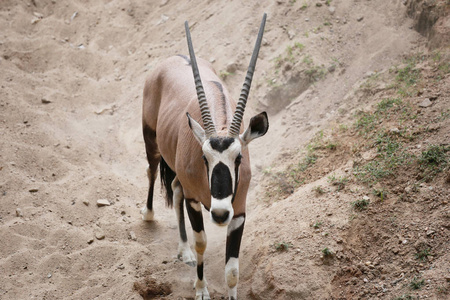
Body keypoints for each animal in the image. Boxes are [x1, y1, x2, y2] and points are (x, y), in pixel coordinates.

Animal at [141, 14, 268, 300]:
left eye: (239, 158)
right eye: (204, 158)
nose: (219, 214)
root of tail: (174, 58)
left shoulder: (238, 211)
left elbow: (232, 269)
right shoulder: (194, 202)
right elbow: (202, 244)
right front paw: (201, 289)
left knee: (174, 187)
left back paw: (184, 252)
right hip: (151, 142)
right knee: (152, 172)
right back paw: (149, 214)